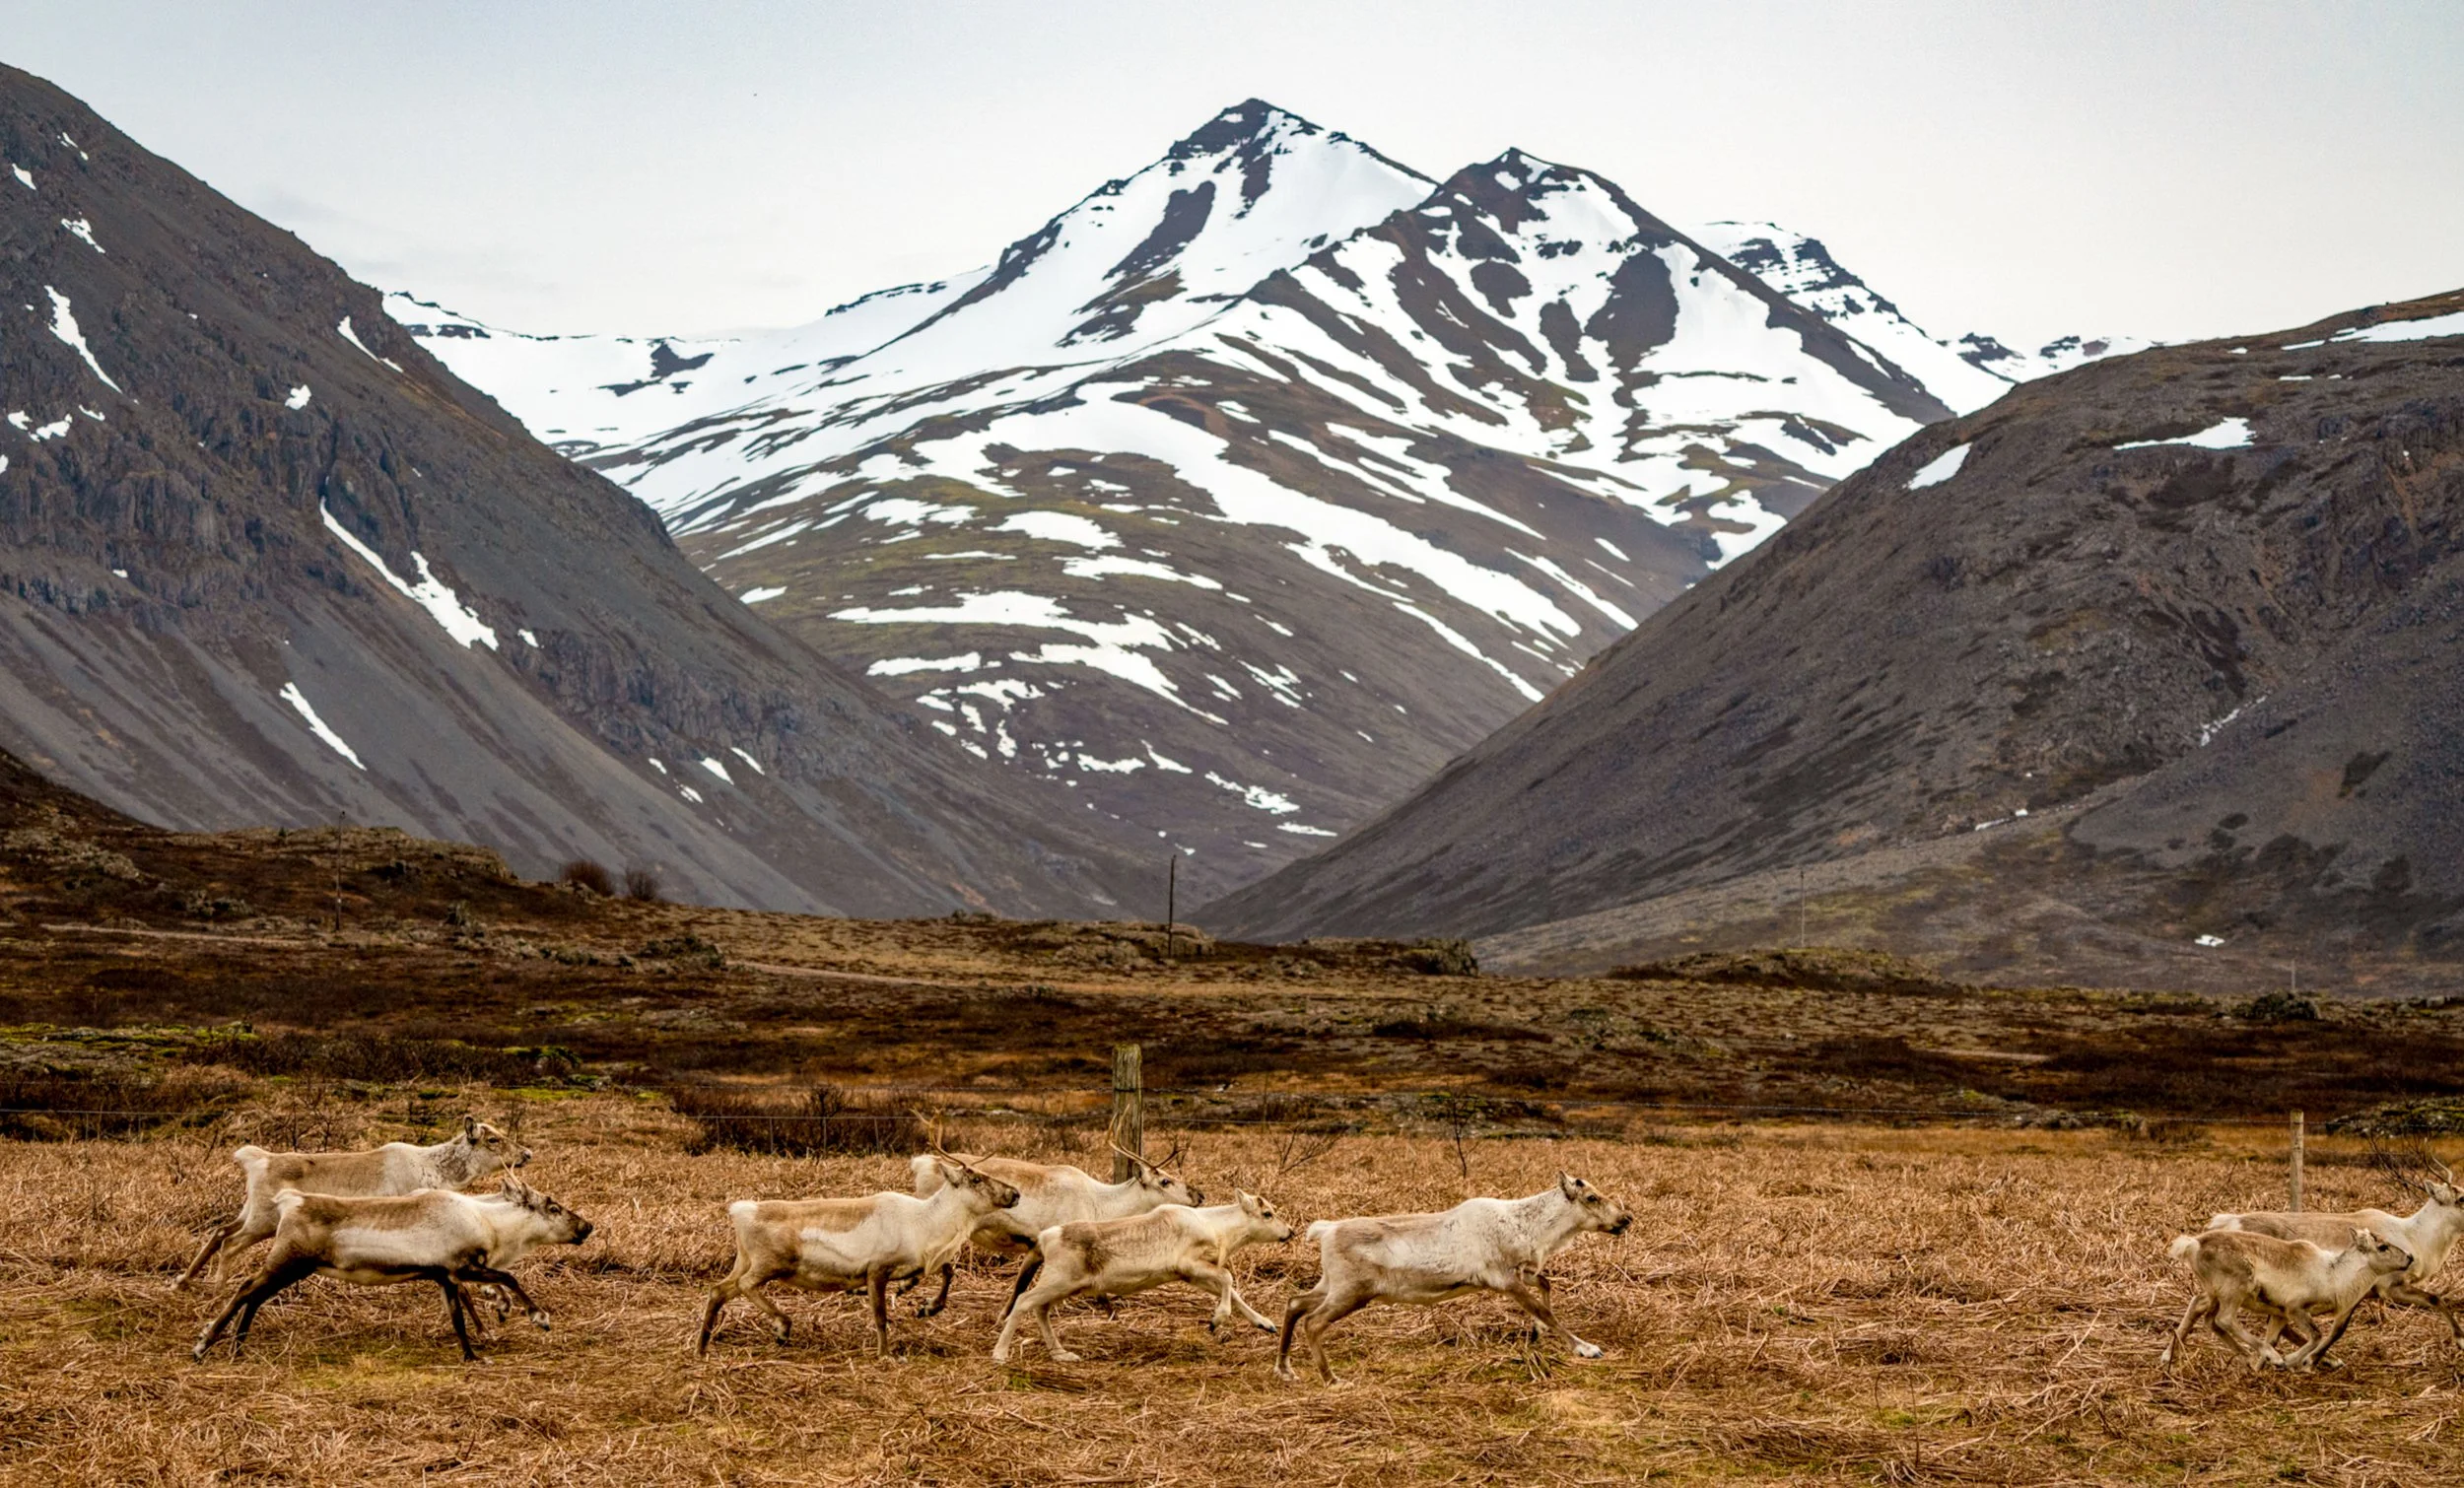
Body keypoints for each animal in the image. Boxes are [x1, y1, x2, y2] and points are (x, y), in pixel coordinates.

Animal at [190, 1177, 592, 1363]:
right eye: (553, 1207)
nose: (587, 1227)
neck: (487, 1221)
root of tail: (291, 1201)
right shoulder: (461, 1266)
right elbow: (510, 1276)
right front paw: (538, 1317)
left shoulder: (445, 1276)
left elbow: (458, 1319)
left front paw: (471, 1354)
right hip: (289, 1260)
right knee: (246, 1287)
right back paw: (204, 1344)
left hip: (293, 1267)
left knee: (255, 1294)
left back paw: (237, 1346)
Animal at [1278, 1173, 1633, 1383]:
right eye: (1591, 1198)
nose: (1626, 1218)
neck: (1533, 1229)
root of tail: (1325, 1231)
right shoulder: (1503, 1278)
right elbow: (1544, 1308)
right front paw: (1585, 1348)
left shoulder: (1520, 1272)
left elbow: (1547, 1284)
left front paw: (1539, 1331)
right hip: (1353, 1290)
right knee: (1313, 1321)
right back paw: (1331, 1379)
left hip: (1331, 1283)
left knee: (1295, 1303)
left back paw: (1285, 1368)